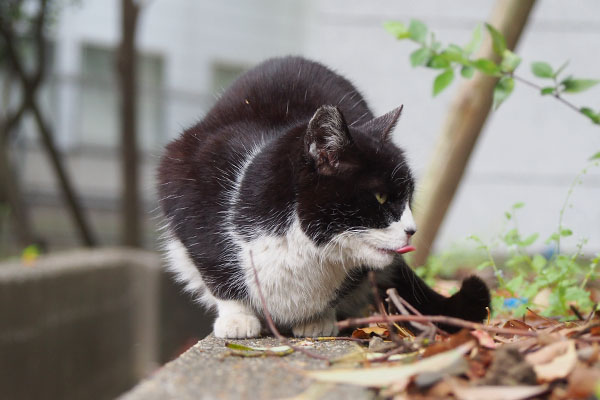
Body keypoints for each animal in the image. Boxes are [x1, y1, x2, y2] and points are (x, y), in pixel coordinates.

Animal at [157, 55, 490, 338]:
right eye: (381, 198)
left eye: (409, 197)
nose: (412, 230)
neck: (304, 246)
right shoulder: (187, 188)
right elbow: (217, 272)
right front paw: (237, 319)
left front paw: (316, 319)